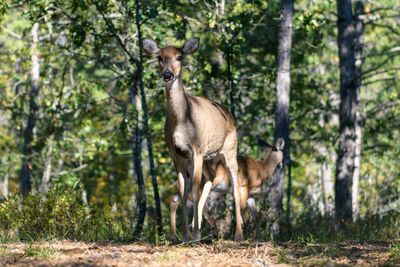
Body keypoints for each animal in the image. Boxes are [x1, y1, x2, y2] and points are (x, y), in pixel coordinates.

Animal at [144, 37, 244, 243]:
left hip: (230, 148)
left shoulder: (197, 149)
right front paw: (185, 235)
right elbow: (183, 192)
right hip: (208, 157)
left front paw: (195, 235)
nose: (167, 74)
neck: (182, 120)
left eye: (179, 57)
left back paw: (238, 234)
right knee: (210, 179)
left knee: (235, 183)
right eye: (159, 57)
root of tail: (228, 112)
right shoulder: (177, 154)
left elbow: (194, 191)